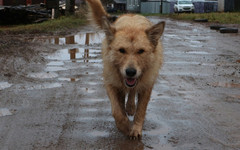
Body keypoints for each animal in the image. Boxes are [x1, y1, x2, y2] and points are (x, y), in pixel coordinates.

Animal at [86, 0, 165, 139]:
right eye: (121, 50)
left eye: (141, 51)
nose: (131, 72)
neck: (132, 26)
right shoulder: (111, 83)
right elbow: (116, 111)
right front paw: (125, 126)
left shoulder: (147, 86)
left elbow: (141, 110)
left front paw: (136, 128)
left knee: (132, 93)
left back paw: (130, 107)